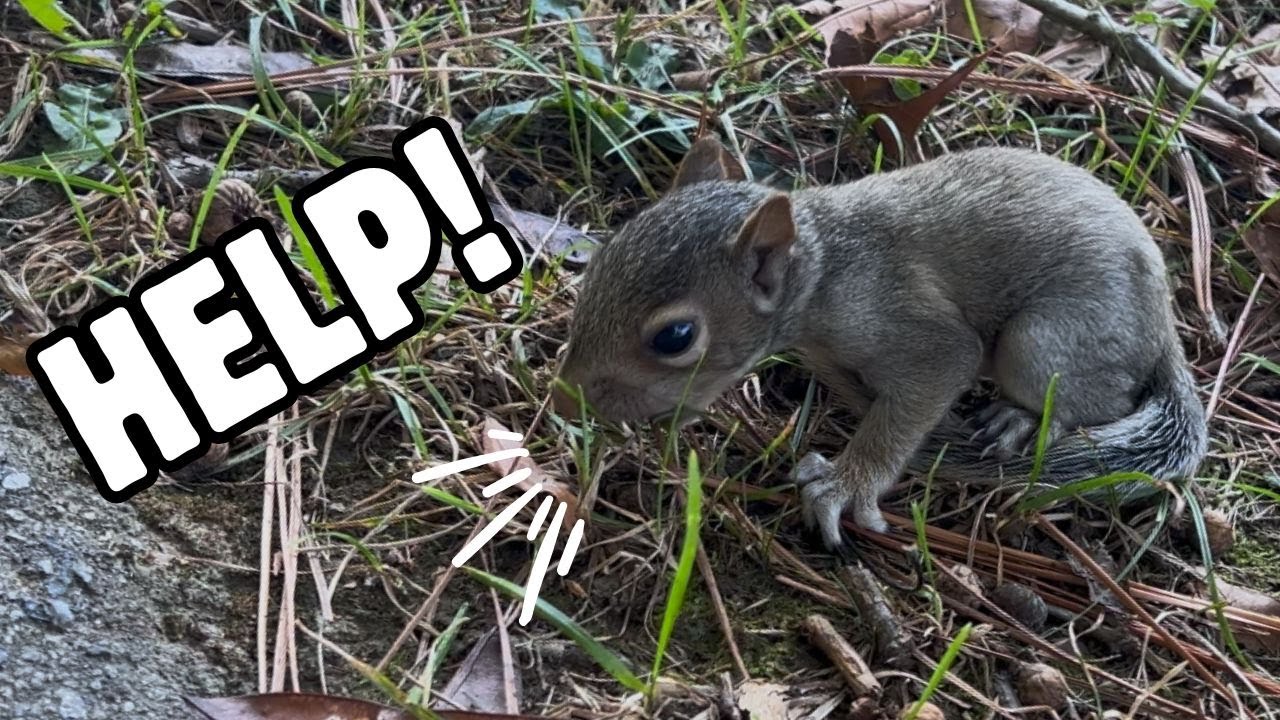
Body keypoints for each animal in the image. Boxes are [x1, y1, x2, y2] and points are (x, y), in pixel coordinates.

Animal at [553, 138, 1208, 548]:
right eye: (601, 260)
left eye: (675, 336)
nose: (564, 398)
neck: (825, 270)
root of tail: (1165, 322)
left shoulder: (912, 327)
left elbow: (927, 383)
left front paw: (847, 483)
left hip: (1046, 342)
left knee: (1097, 400)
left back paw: (1020, 420)